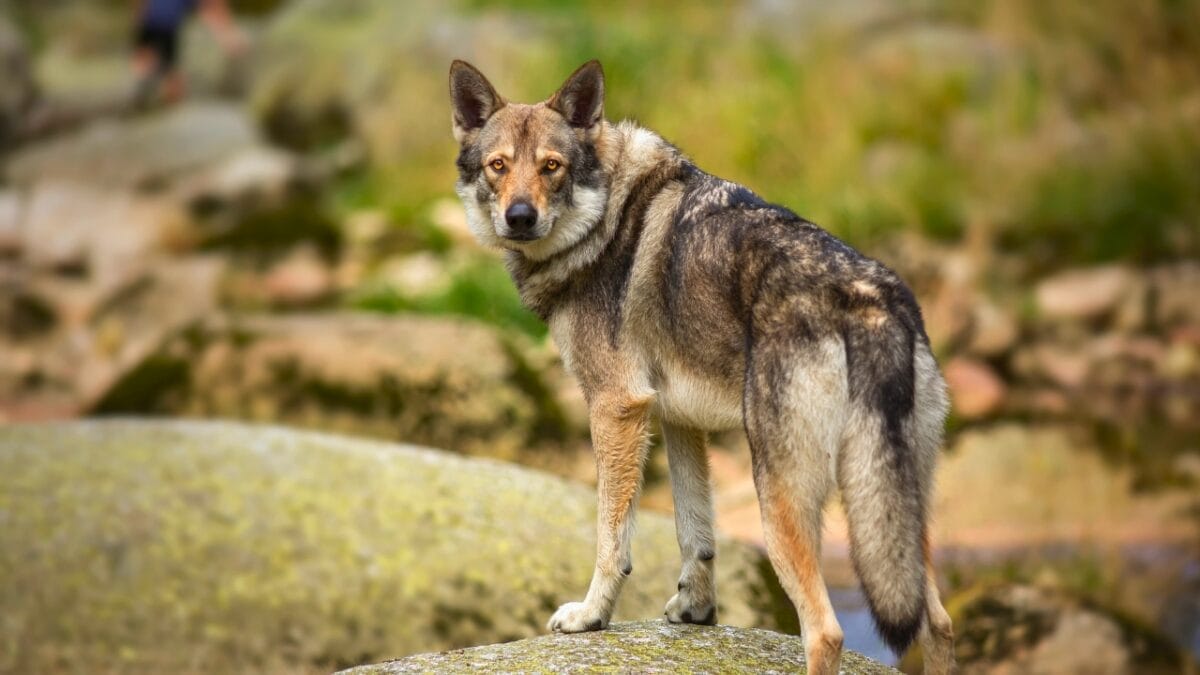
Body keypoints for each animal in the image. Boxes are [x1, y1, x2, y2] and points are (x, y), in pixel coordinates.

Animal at [448, 59, 956, 674]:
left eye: (552, 166)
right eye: (498, 166)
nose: (520, 217)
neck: (606, 220)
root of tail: (871, 302)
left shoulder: (616, 409)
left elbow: (611, 537)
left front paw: (590, 617)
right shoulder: (677, 420)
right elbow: (696, 531)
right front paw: (697, 612)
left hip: (780, 500)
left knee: (827, 632)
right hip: (900, 515)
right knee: (937, 623)